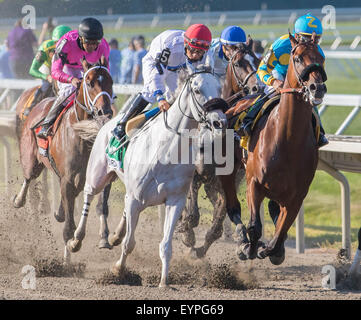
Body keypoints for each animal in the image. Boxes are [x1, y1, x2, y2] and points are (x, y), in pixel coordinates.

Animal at [13, 58, 112, 264]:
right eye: (89, 82)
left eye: (111, 81)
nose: (104, 111)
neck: (82, 136)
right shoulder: (68, 179)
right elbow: (69, 226)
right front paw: (69, 254)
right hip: (31, 156)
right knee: (29, 177)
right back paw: (19, 200)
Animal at [67, 65, 228, 288]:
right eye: (197, 90)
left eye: (219, 88)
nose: (219, 122)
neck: (166, 150)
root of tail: (108, 121)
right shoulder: (135, 198)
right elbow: (129, 243)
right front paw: (118, 270)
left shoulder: (174, 201)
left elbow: (166, 245)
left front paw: (164, 281)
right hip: (97, 175)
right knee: (89, 195)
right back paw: (76, 240)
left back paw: (114, 236)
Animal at [179, 39, 262, 258]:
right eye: (239, 63)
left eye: (258, 61)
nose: (258, 87)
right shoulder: (194, 174)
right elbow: (192, 213)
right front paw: (187, 234)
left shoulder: (228, 180)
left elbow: (218, 220)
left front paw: (200, 249)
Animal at [239, 32, 326, 264]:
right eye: (297, 58)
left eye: (321, 58)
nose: (317, 87)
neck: (287, 139)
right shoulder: (254, 182)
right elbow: (254, 227)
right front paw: (248, 248)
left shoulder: (297, 196)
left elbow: (280, 234)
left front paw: (271, 251)